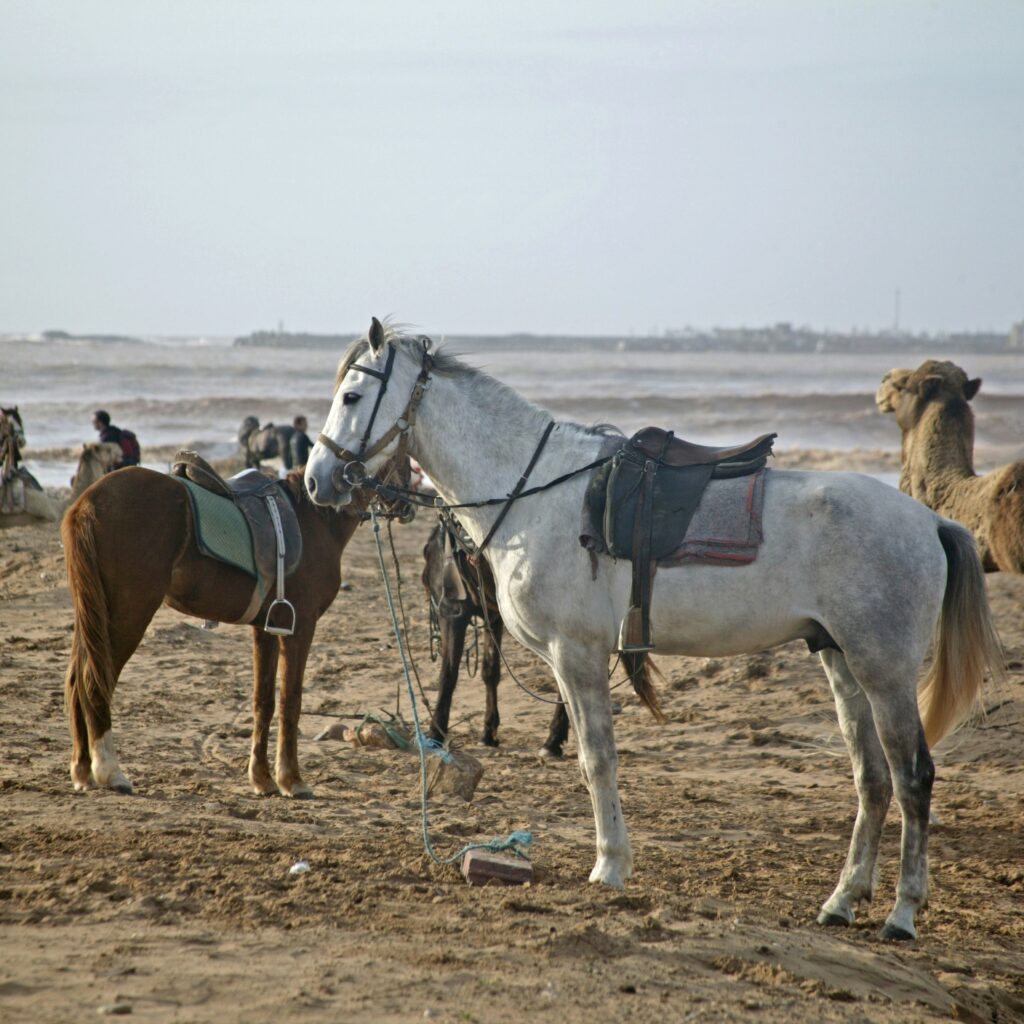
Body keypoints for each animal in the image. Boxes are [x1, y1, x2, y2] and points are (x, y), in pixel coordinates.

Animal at [62, 466, 368, 799]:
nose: (318, 487)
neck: (312, 515)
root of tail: (88, 501)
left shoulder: (267, 628)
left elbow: (264, 701)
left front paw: (263, 778)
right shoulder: (300, 627)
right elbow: (291, 699)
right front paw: (291, 779)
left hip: (93, 614)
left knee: (76, 681)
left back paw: (82, 770)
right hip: (127, 614)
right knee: (94, 680)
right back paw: (109, 770)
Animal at [305, 319, 1004, 941]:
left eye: (352, 397)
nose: (317, 479)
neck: (539, 493)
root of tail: (930, 522)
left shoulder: (577, 656)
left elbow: (597, 759)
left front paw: (610, 865)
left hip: (884, 672)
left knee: (913, 778)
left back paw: (902, 913)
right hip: (842, 662)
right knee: (873, 779)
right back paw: (843, 900)